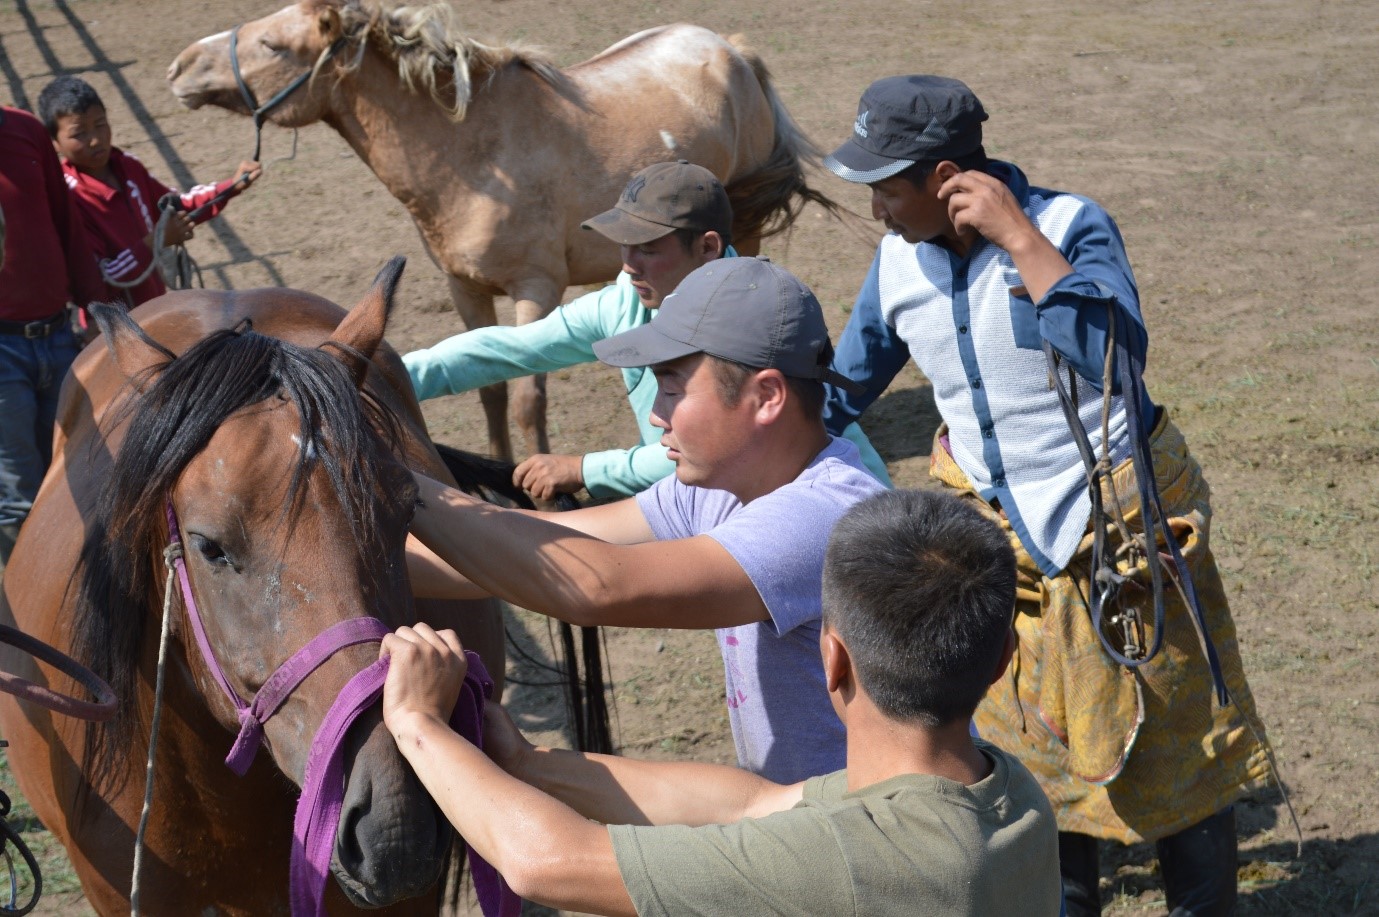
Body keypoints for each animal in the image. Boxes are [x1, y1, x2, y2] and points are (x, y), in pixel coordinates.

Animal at [167, 0, 838, 463]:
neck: (473, 157)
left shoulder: (534, 290)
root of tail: (731, 48)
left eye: (273, 43)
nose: (179, 66)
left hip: (744, 227)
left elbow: (525, 400)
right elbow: (488, 386)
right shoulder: (464, 287)